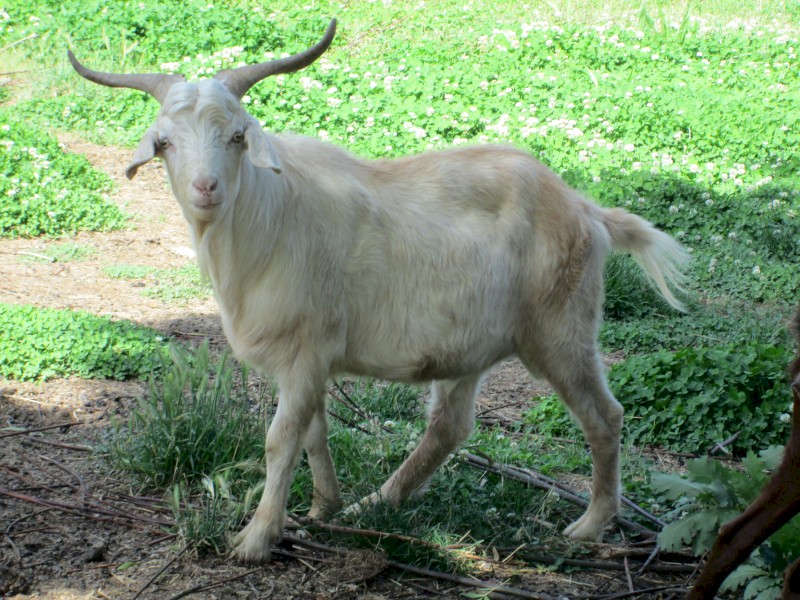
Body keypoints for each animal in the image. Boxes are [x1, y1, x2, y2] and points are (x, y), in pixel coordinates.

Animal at [68, 19, 688, 564]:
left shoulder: (304, 350)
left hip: (561, 328)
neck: (266, 219)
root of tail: (587, 209)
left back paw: (590, 525)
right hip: (471, 345)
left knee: (604, 415)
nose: (206, 188)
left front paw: (256, 538)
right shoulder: (310, 358)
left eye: (238, 136)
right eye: (165, 143)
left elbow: (281, 438)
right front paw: (324, 506)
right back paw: (373, 505)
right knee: (450, 427)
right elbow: (315, 432)